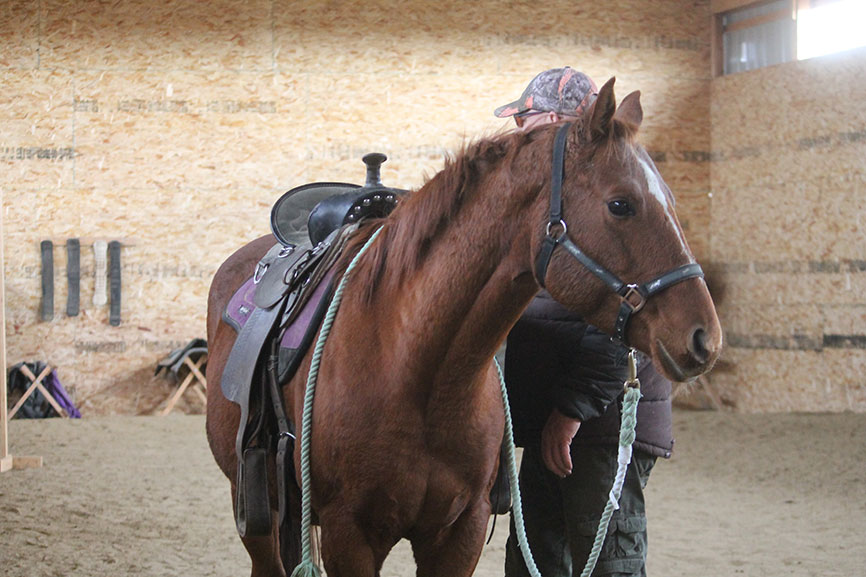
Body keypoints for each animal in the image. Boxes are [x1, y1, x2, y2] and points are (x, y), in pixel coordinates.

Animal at [205, 77, 722, 577]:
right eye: (620, 205)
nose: (705, 337)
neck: (413, 369)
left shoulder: (461, 531)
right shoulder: (347, 534)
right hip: (256, 512)